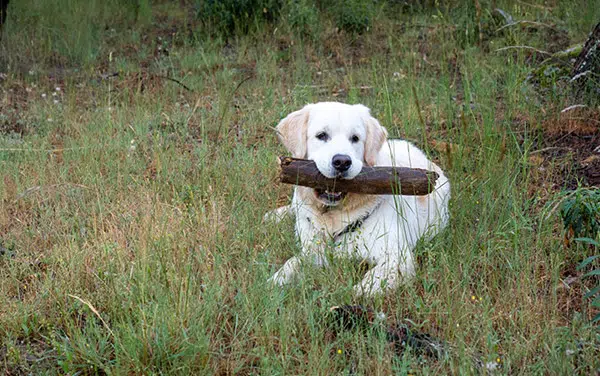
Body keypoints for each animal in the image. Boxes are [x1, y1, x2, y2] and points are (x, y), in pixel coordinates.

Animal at [268, 103, 450, 296]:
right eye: (321, 135)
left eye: (355, 138)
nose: (342, 162)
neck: (333, 216)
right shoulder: (312, 250)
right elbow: (292, 263)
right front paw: (273, 284)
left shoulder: (398, 258)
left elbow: (368, 285)